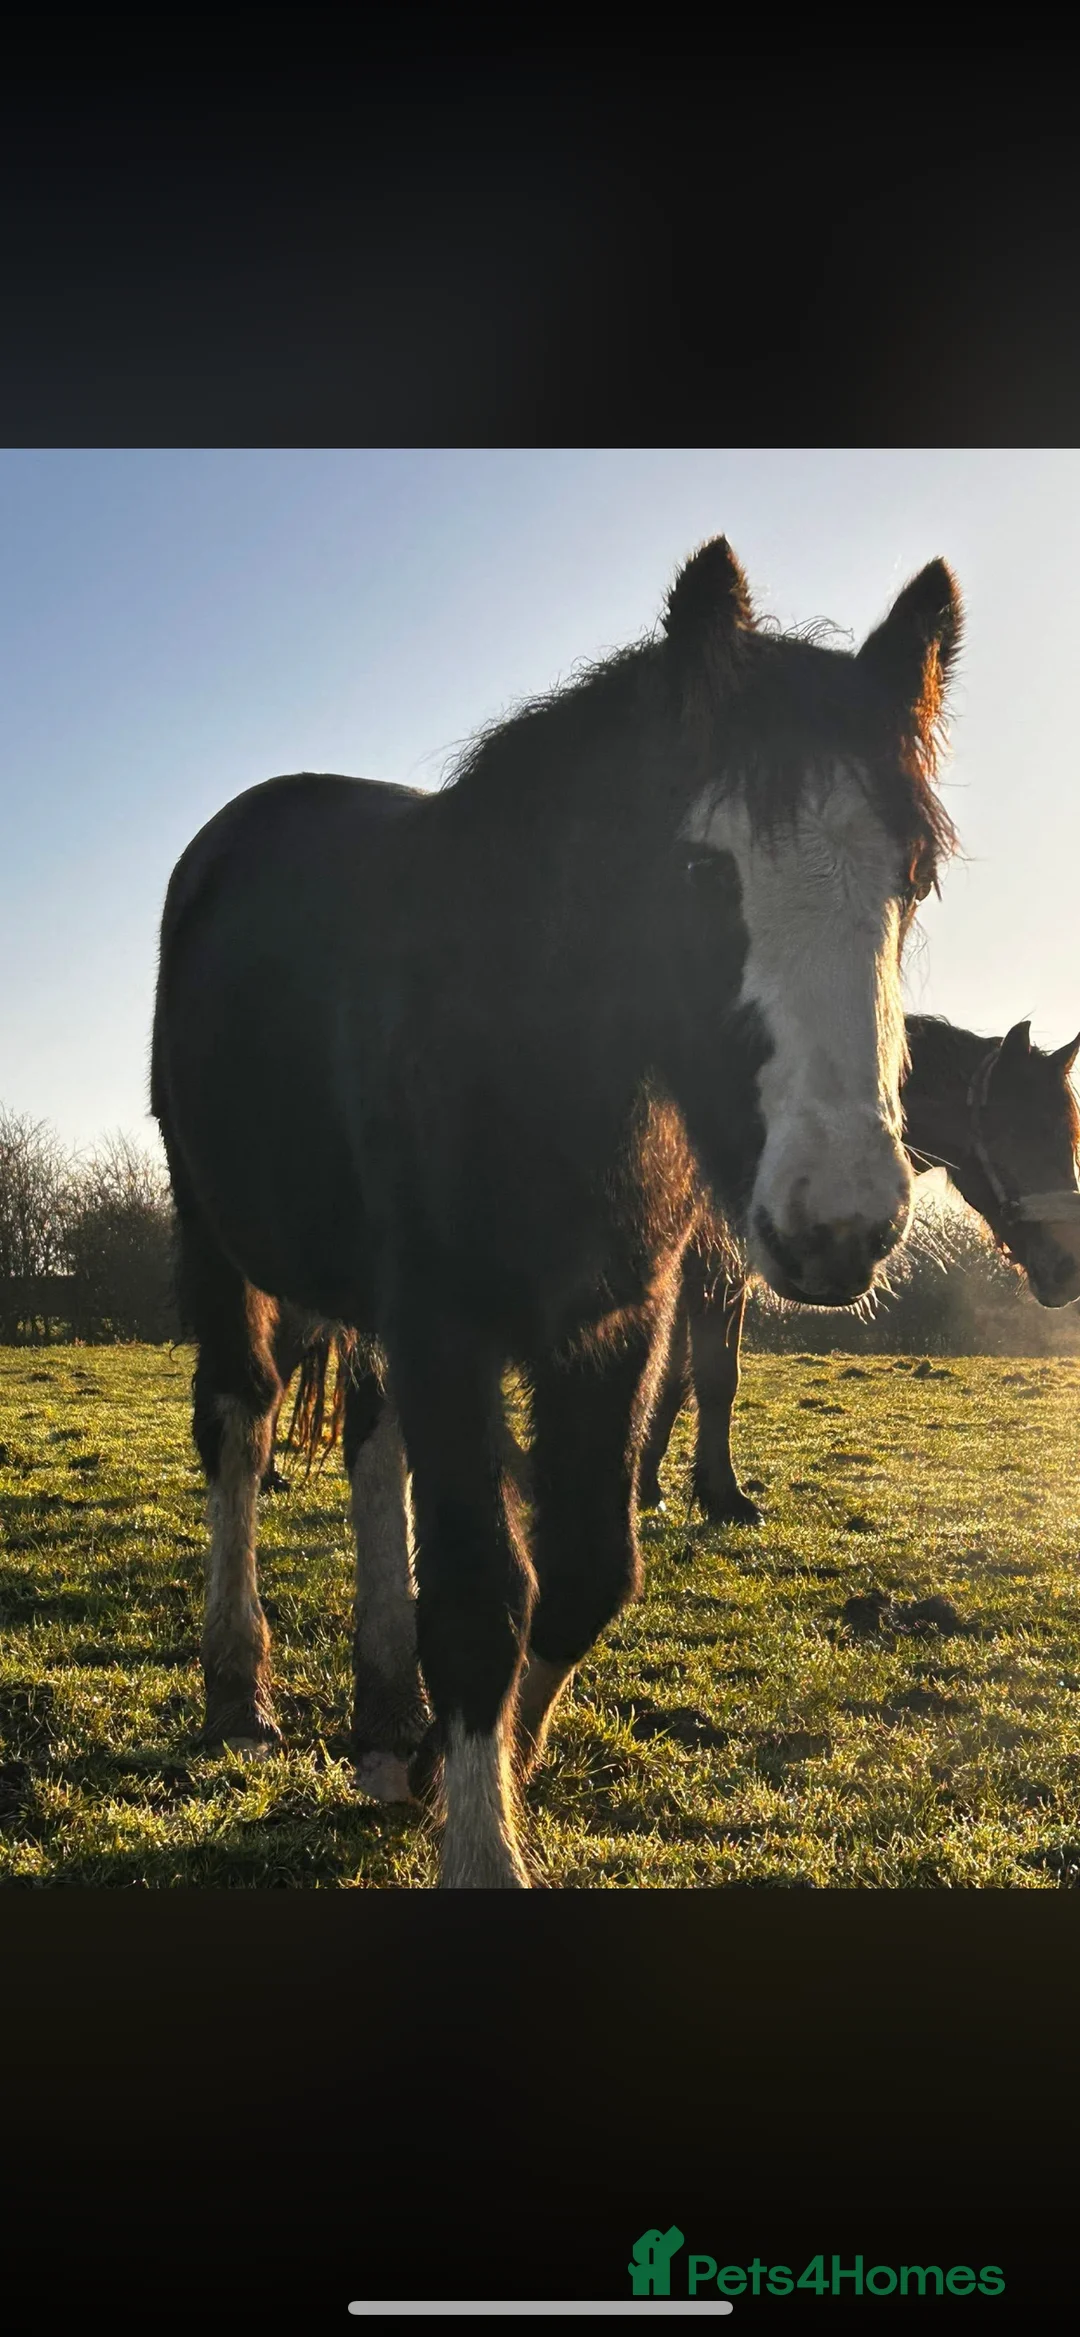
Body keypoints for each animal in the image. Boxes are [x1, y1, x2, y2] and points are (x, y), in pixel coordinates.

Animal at [151, 533, 961, 1888]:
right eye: (700, 869)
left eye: (914, 875)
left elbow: (585, 1571)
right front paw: (480, 1841)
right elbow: (485, 1594)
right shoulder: (446, 1322)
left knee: (371, 1443)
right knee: (241, 1424)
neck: (534, 1058)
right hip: (216, 1236)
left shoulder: (611, 1327)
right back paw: (239, 1687)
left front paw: (464, 1763)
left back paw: (385, 1715)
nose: (841, 1221)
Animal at [639, 1014, 1080, 1524]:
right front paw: (724, 1497)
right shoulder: (713, 1263)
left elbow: (672, 1377)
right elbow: (714, 1375)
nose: (1070, 1268)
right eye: (1023, 1131)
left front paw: (649, 1485)